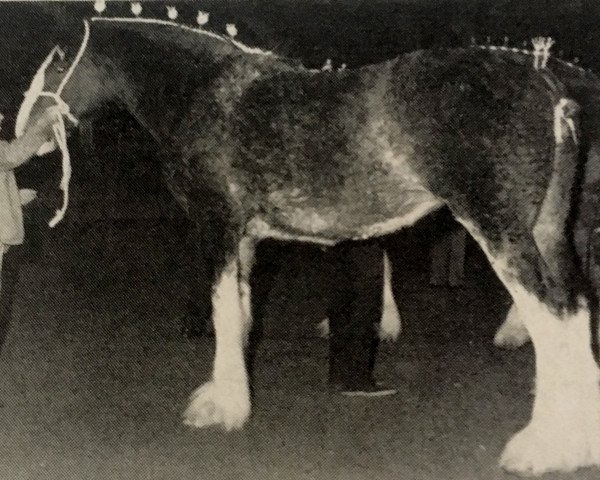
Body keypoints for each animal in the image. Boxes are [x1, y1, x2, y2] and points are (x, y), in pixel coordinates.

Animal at [14, 17, 600, 476]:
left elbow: (223, 311)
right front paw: (230, 391)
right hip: (548, 232)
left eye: (56, 64)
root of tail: (545, 77)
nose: (19, 136)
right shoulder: (247, 238)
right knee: (574, 314)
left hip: (501, 231)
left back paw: (539, 448)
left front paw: (224, 409)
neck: (208, 93)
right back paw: (577, 443)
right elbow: (242, 310)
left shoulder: (218, 224)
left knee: (550, 321)